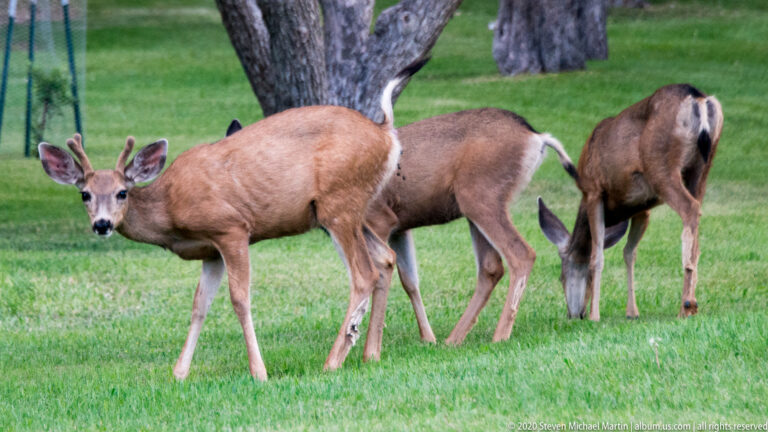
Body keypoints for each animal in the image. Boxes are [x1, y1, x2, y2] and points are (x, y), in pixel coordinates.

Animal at [37, 60, 427, 381]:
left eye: (122, 192)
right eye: (84, 194)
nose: (102, 224)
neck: (170, 208)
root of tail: (386, 134)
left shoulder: (231, 228)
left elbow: (240, 299)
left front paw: (259, 372)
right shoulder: (210, 250)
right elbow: (199, 305)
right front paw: (179, 372)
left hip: (339, 203)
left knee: (364, 273)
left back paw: (333, 361)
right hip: (345, 208)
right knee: (386, 258)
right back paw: (370, 354)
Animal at [537, 84, 723, 321]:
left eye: (561, 277)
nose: (575, 314)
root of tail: (698, 99)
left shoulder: (593, 191)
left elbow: (597, 255)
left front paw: (595, 315)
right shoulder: (642, 208)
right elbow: (629, 252)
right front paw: (632, 312)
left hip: (661, 166)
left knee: (690, 209)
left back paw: (687, 305)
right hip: (702, 169)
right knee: (697, 218)